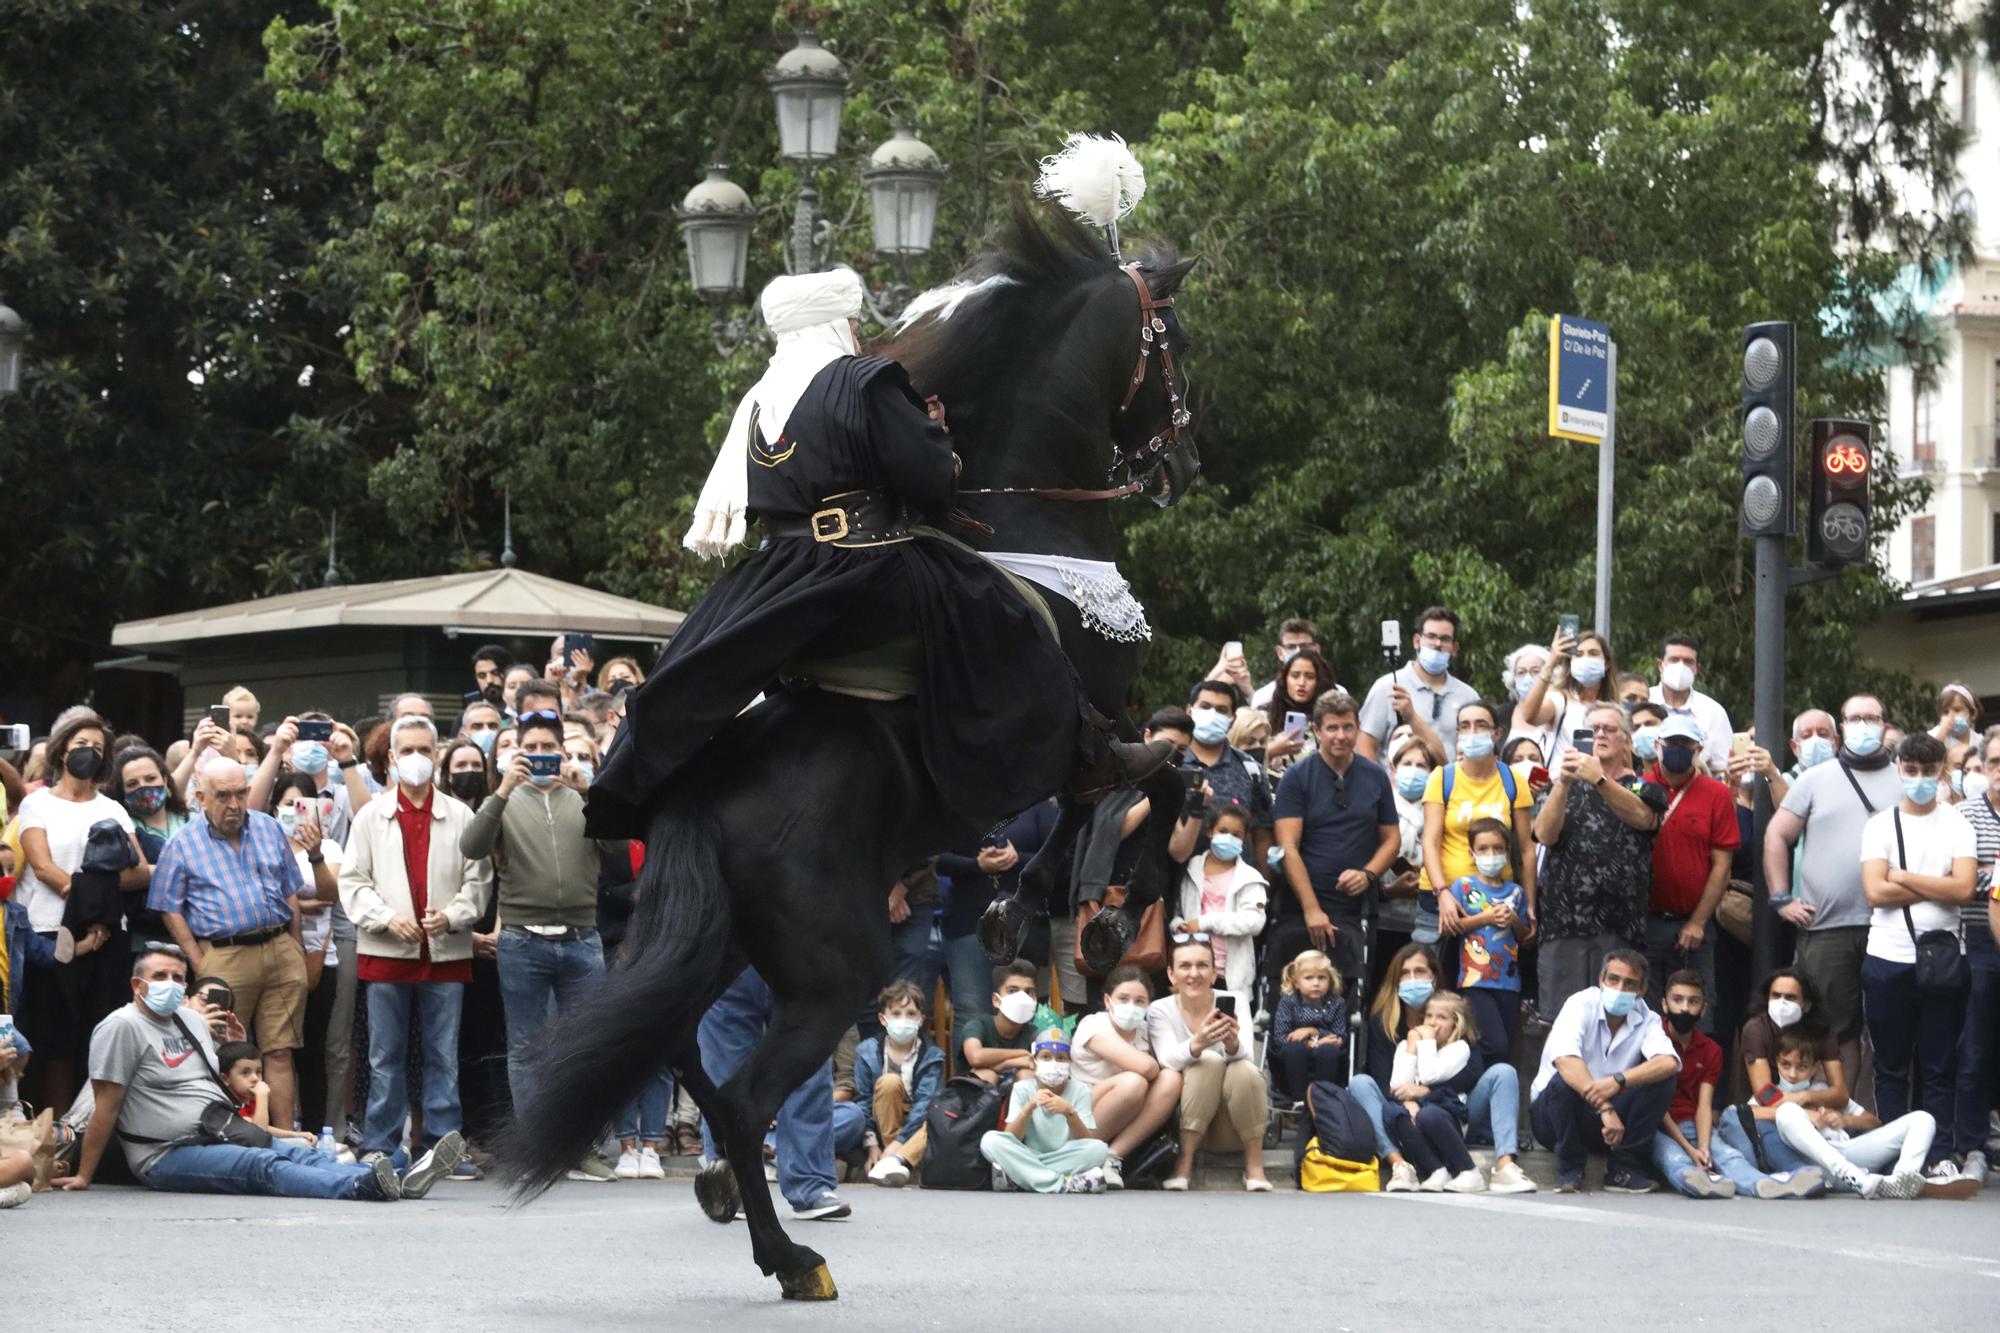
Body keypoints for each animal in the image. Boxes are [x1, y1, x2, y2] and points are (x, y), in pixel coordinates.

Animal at [492, 200, 1192, 1296]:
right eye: (1175, 347)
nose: (1177, 463)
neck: (1030, 526)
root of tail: (697, 799)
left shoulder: (1081, 741)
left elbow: (1109, 803)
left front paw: (1025, 902)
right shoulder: (1092, 726)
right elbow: (1163, 783)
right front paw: (1107, 910)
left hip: (710, 945)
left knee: (680, 1053)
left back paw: (736, 1197)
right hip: (834, 969)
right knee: (741, 1095)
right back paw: (791, 1255)